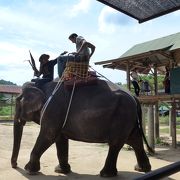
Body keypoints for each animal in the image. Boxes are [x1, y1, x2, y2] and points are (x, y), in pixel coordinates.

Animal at [10, 80, 153, 177]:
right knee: (135, 141)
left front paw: (29, 170)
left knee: (116, 144)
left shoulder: (53, 110)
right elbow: (60, 139)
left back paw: (106, 174)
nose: (15, 165)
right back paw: (142, 169)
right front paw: (61, 171)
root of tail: (134, 97)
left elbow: (48, 135)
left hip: (122, 117)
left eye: (17, 101)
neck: (40, 85)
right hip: (130, 120)